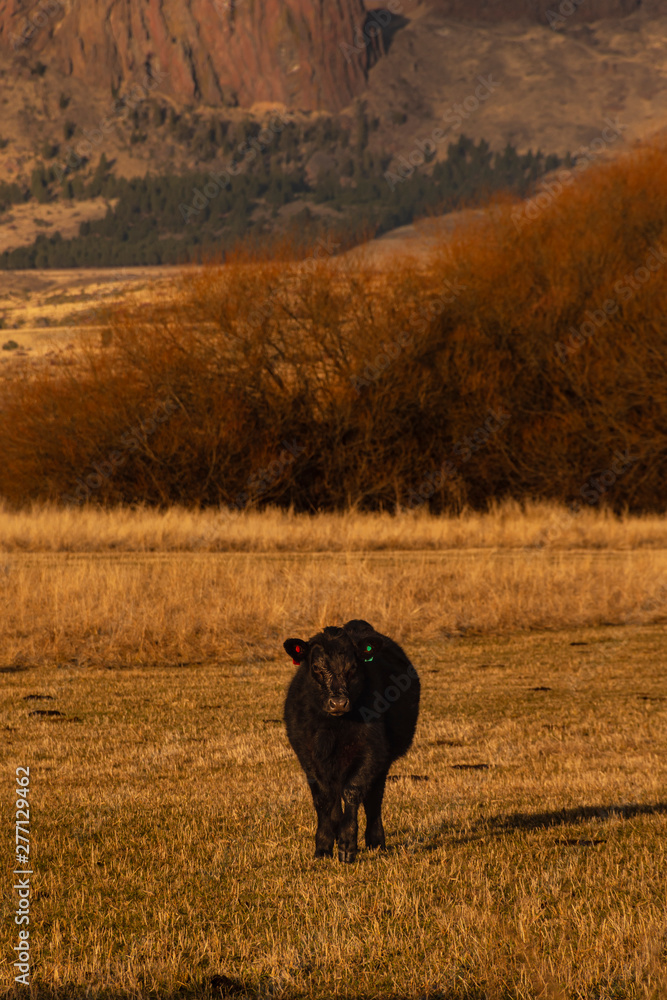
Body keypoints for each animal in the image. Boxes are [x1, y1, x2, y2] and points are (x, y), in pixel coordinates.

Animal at [282, 619, 420, 863]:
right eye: (316, 668)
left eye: (353, 668)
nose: (338, 703)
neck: (333, 729)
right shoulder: (308, 756)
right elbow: (323, 799)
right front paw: (323, 846)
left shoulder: (372, 752)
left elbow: (353, 792)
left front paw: (347, 846)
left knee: (374, 799)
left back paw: (376, 842)